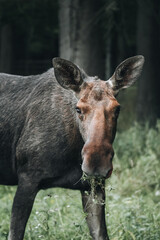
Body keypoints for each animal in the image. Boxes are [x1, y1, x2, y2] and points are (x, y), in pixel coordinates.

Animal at [0, 55, 144, 239]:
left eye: (117, 108)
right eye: (78, 109)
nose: (96, 163)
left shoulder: (93, 186)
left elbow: (101, 234)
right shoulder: (27, 178)